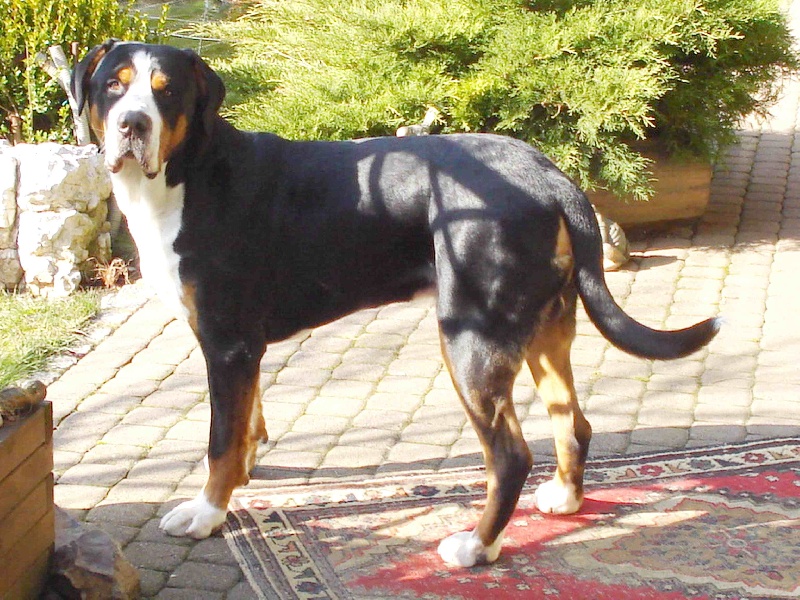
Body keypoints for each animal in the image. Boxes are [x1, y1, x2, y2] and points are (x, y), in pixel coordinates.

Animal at [70, 41, 720, 568]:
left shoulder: (226, 343)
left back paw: (476, 547)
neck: (188, 175)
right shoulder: (243, 349)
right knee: (573, 423)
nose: (132, 124)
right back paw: (564, 498)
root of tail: (547, 173)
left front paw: (207, 512)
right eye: (114, 85)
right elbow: (246, 422)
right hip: (544, 329)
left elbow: (219, 439)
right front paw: (244, 474)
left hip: (472, 338)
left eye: (166, 91)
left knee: (509, 456)